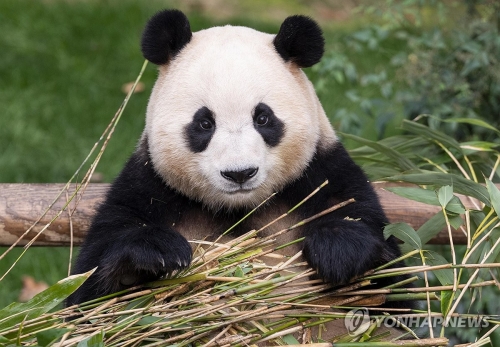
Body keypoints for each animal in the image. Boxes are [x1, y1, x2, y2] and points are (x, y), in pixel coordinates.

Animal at [67, 8, 406, 308]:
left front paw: (337, 249)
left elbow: (392, 275)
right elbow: (86, 292)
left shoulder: (326, 175)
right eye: (205, 123)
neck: (239, 210)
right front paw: (158, 252)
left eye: (263, 118)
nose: (240, 173)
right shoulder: (146, 189)